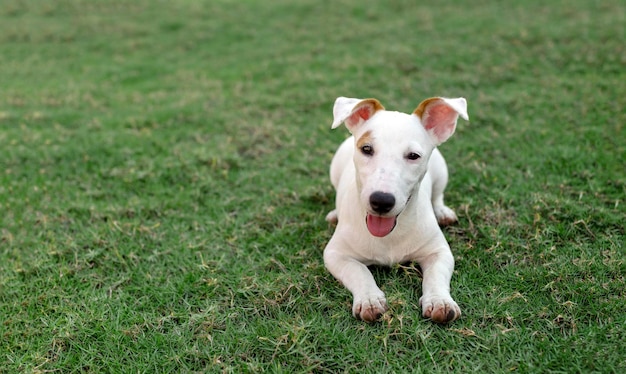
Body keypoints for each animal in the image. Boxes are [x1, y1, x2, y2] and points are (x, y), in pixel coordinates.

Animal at [322, 95, 468, 322]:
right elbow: (358, 271)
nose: (381, 201)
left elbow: (435, 276)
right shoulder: (335, 254)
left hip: (441, 171)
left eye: (413, 156)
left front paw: (439, 300)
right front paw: (370, 298)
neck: (389, 235)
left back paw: (442, 211)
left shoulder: (439, 252)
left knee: (438, 195)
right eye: (366, 149)